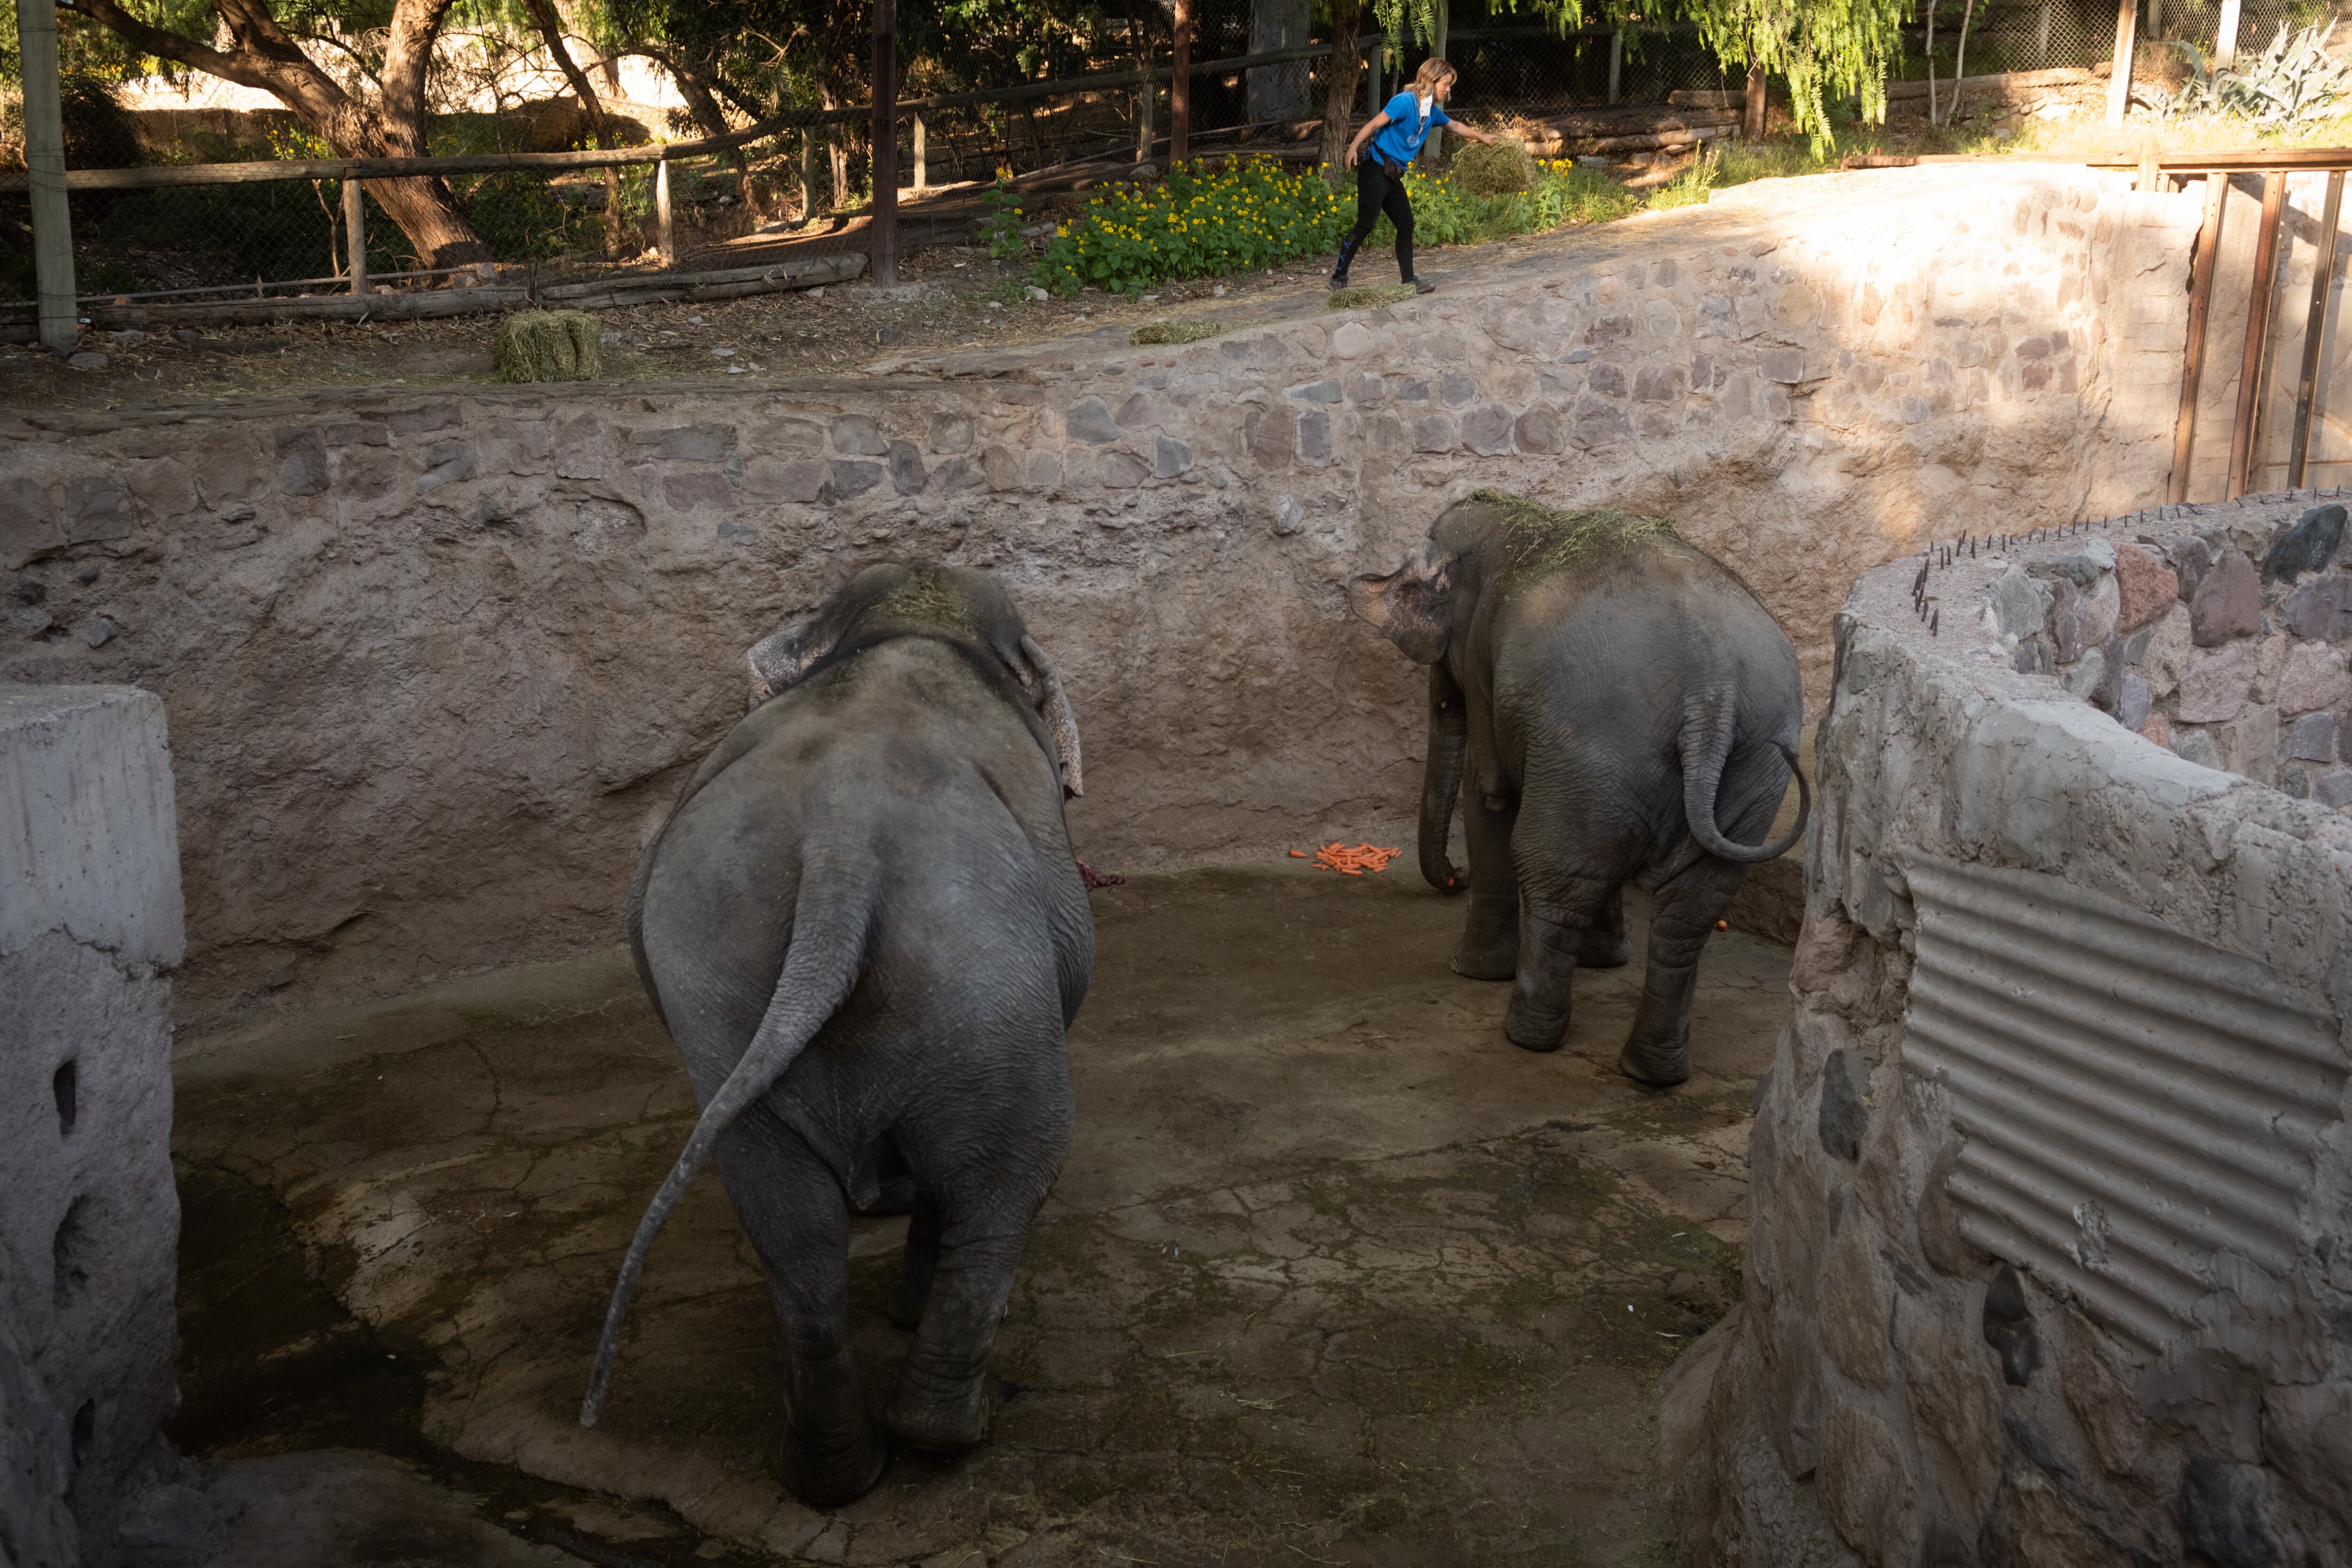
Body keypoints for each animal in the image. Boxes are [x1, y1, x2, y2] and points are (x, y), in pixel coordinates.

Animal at [579, 562, 1091, 1504]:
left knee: (791, 1225)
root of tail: (840, 849)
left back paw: (831, 1474)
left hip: (724, 977)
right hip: (984, 975)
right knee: (1007, 1177)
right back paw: (942, 1431)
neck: (913, 627)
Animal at [1355, 493, 1806, 1090]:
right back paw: (1652, 1072)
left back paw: (1527, 1036)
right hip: (1750, 763)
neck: (1524, 519)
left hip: (1601, 737)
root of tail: (1711, 690)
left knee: (1557, 874)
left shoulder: (1483, 666)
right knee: (1686, 910)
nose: (1455, 878)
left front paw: (1473, 972)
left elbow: (1489, 792)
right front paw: (1604, 961)